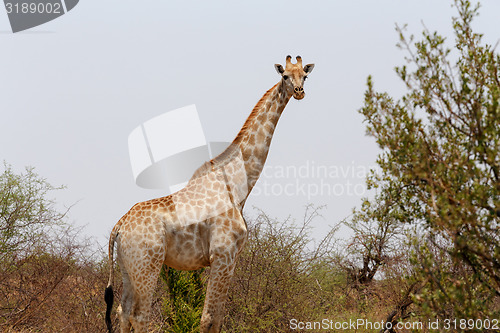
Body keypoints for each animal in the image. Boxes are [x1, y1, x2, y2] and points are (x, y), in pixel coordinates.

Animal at [104, 55, 316, 330]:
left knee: (123, 309)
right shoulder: (222, 255)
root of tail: (119, 226)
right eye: (285, 76)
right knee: (140, 314)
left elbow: (218, 318)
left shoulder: (232, 259)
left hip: (127, 266)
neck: (238, 187)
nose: (299, 91)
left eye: (305, 75)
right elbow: (207, 319)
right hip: (148, 265)